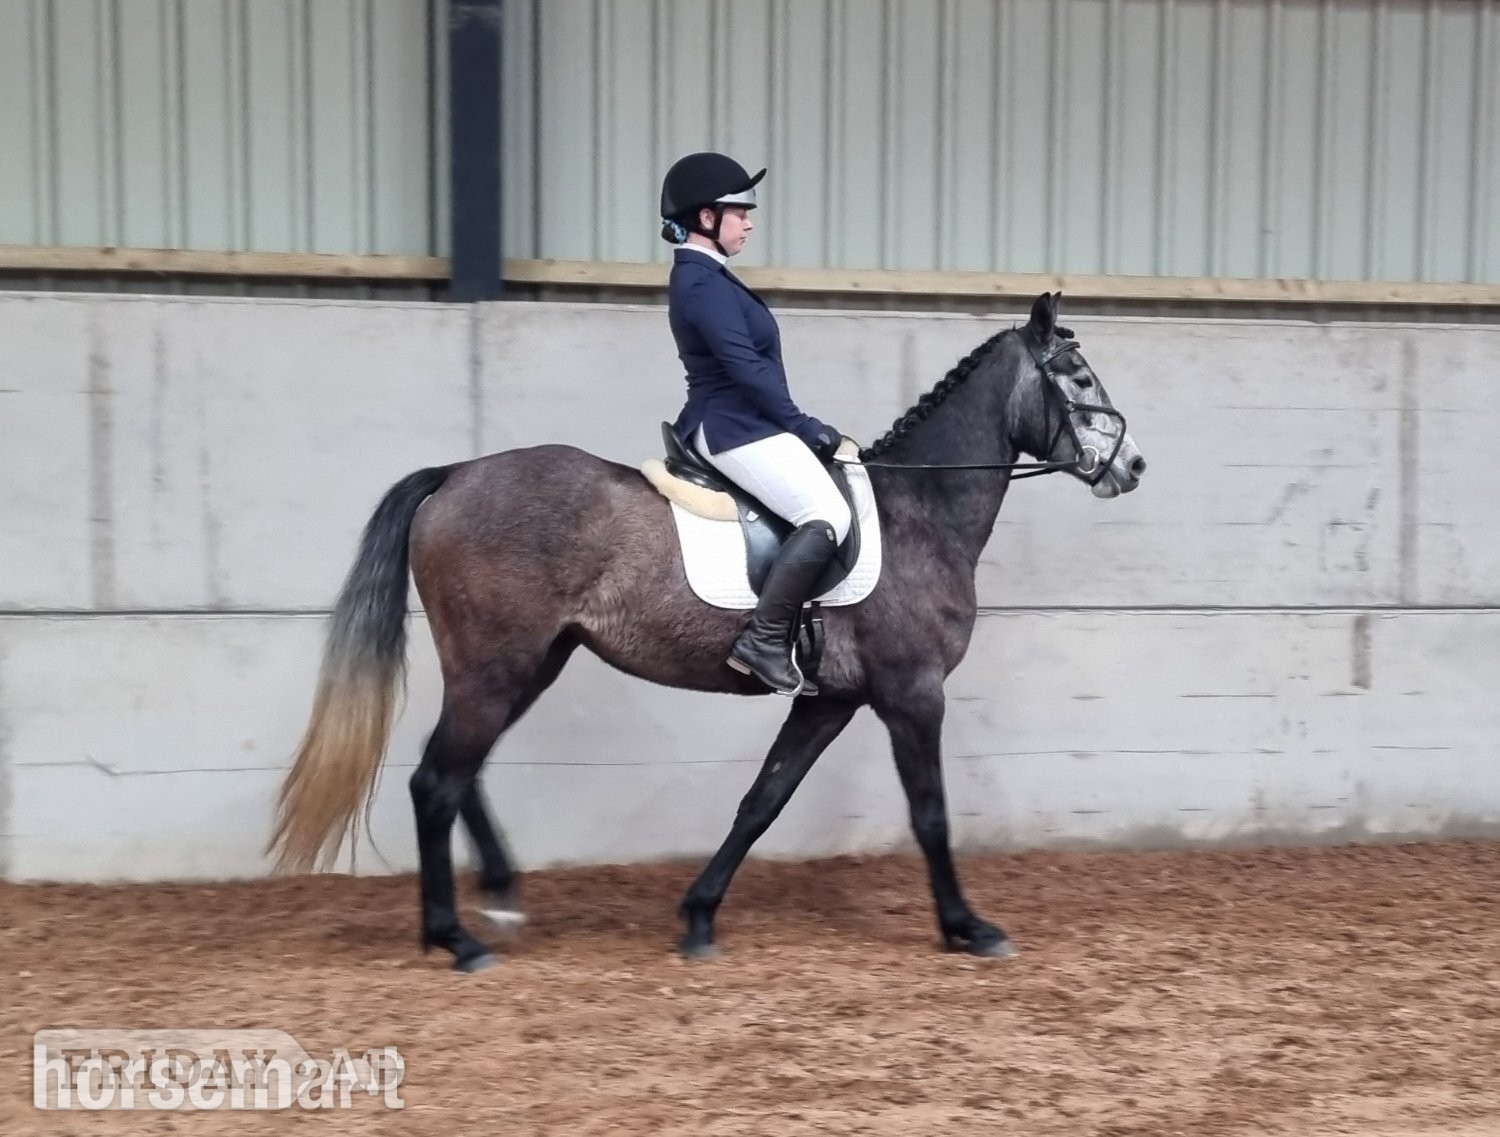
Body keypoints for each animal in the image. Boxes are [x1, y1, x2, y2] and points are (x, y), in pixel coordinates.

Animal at [267, 291, 1147, 971]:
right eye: (1077, 376)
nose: (1133, 467)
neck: (921, 514)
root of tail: (454, 474)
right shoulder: (911, 693)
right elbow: (929, 813)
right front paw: (969, 927)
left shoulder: (828, 699)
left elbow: (761, 801)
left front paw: (697, 916)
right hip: (497, 665)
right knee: (435, 779)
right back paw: (457, 937)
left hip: (530, 661)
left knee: (460, 772)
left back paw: (501, 898)